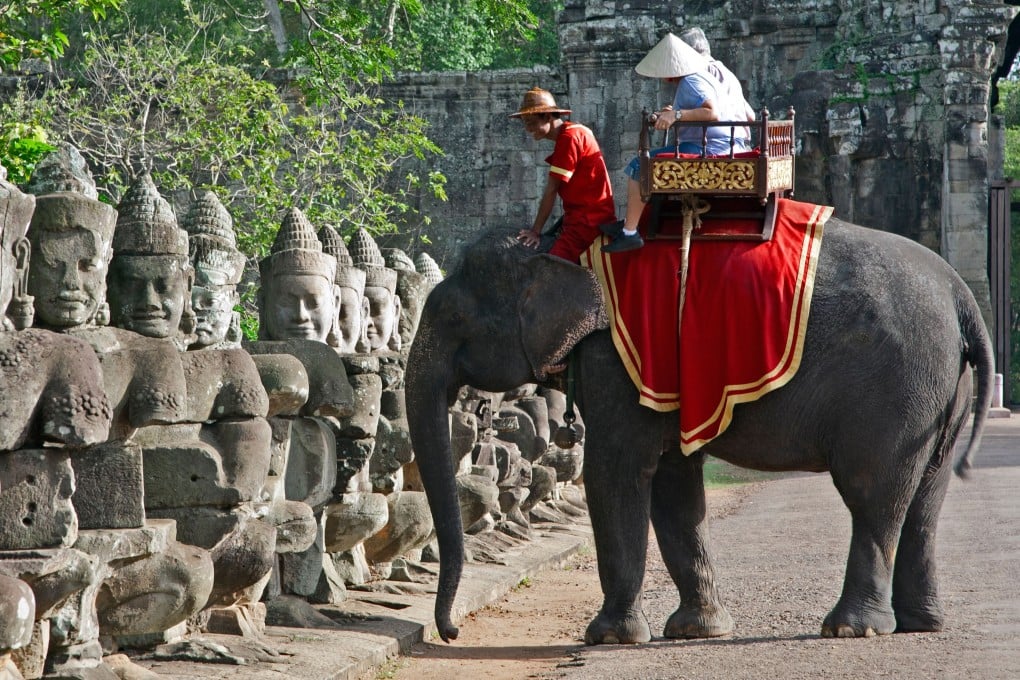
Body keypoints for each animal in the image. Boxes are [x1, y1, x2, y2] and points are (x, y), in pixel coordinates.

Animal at [405, 219, 993, 645]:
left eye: (454, 318)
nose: (450, 633)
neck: (554, 244)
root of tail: (961, 296)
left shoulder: (619, 361)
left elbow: (615, 473)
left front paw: (609, 638)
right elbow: (674, 484)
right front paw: (697, 630)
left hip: (897, 387)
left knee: (872, 492)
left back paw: (851, 629)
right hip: (941, 394)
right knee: (925, 499)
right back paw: (921, 625)